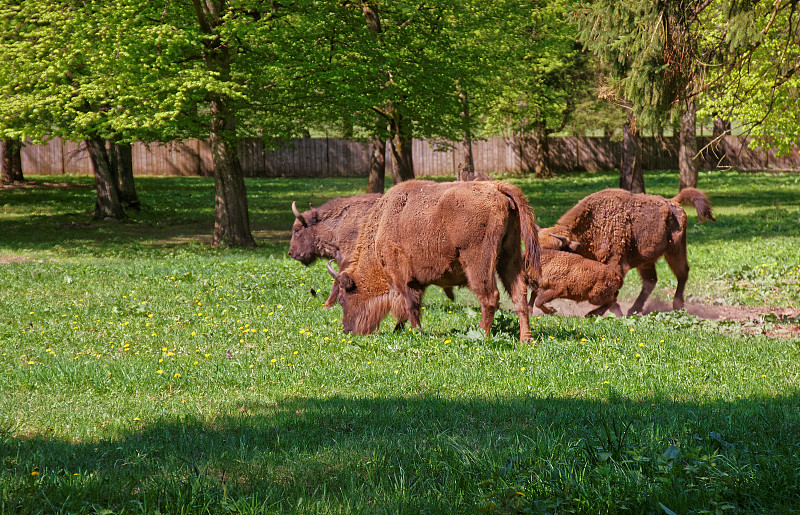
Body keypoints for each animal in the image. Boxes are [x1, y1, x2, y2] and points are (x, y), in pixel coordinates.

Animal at [324, 179, 544, 344]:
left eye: (343, 299)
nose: (348, 330)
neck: (382, 227)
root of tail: (497, 188)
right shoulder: (415, 282)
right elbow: (409, 308)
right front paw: (399, 330)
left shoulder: (402, 280)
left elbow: (410, 306)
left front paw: (416, 332)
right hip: (509, 256)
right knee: (519, 295)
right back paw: (526, 339)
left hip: (478, 263)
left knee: (490, 297)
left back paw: (482, 335)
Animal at [536, 185, 720, 314]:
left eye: (557, 251)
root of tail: (673, 201)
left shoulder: (615, 262)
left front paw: (611, 311)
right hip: (647, 260)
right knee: (650, 281)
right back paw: (634, 310)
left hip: (675, 250)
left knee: (682, 274)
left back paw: (677, 306)